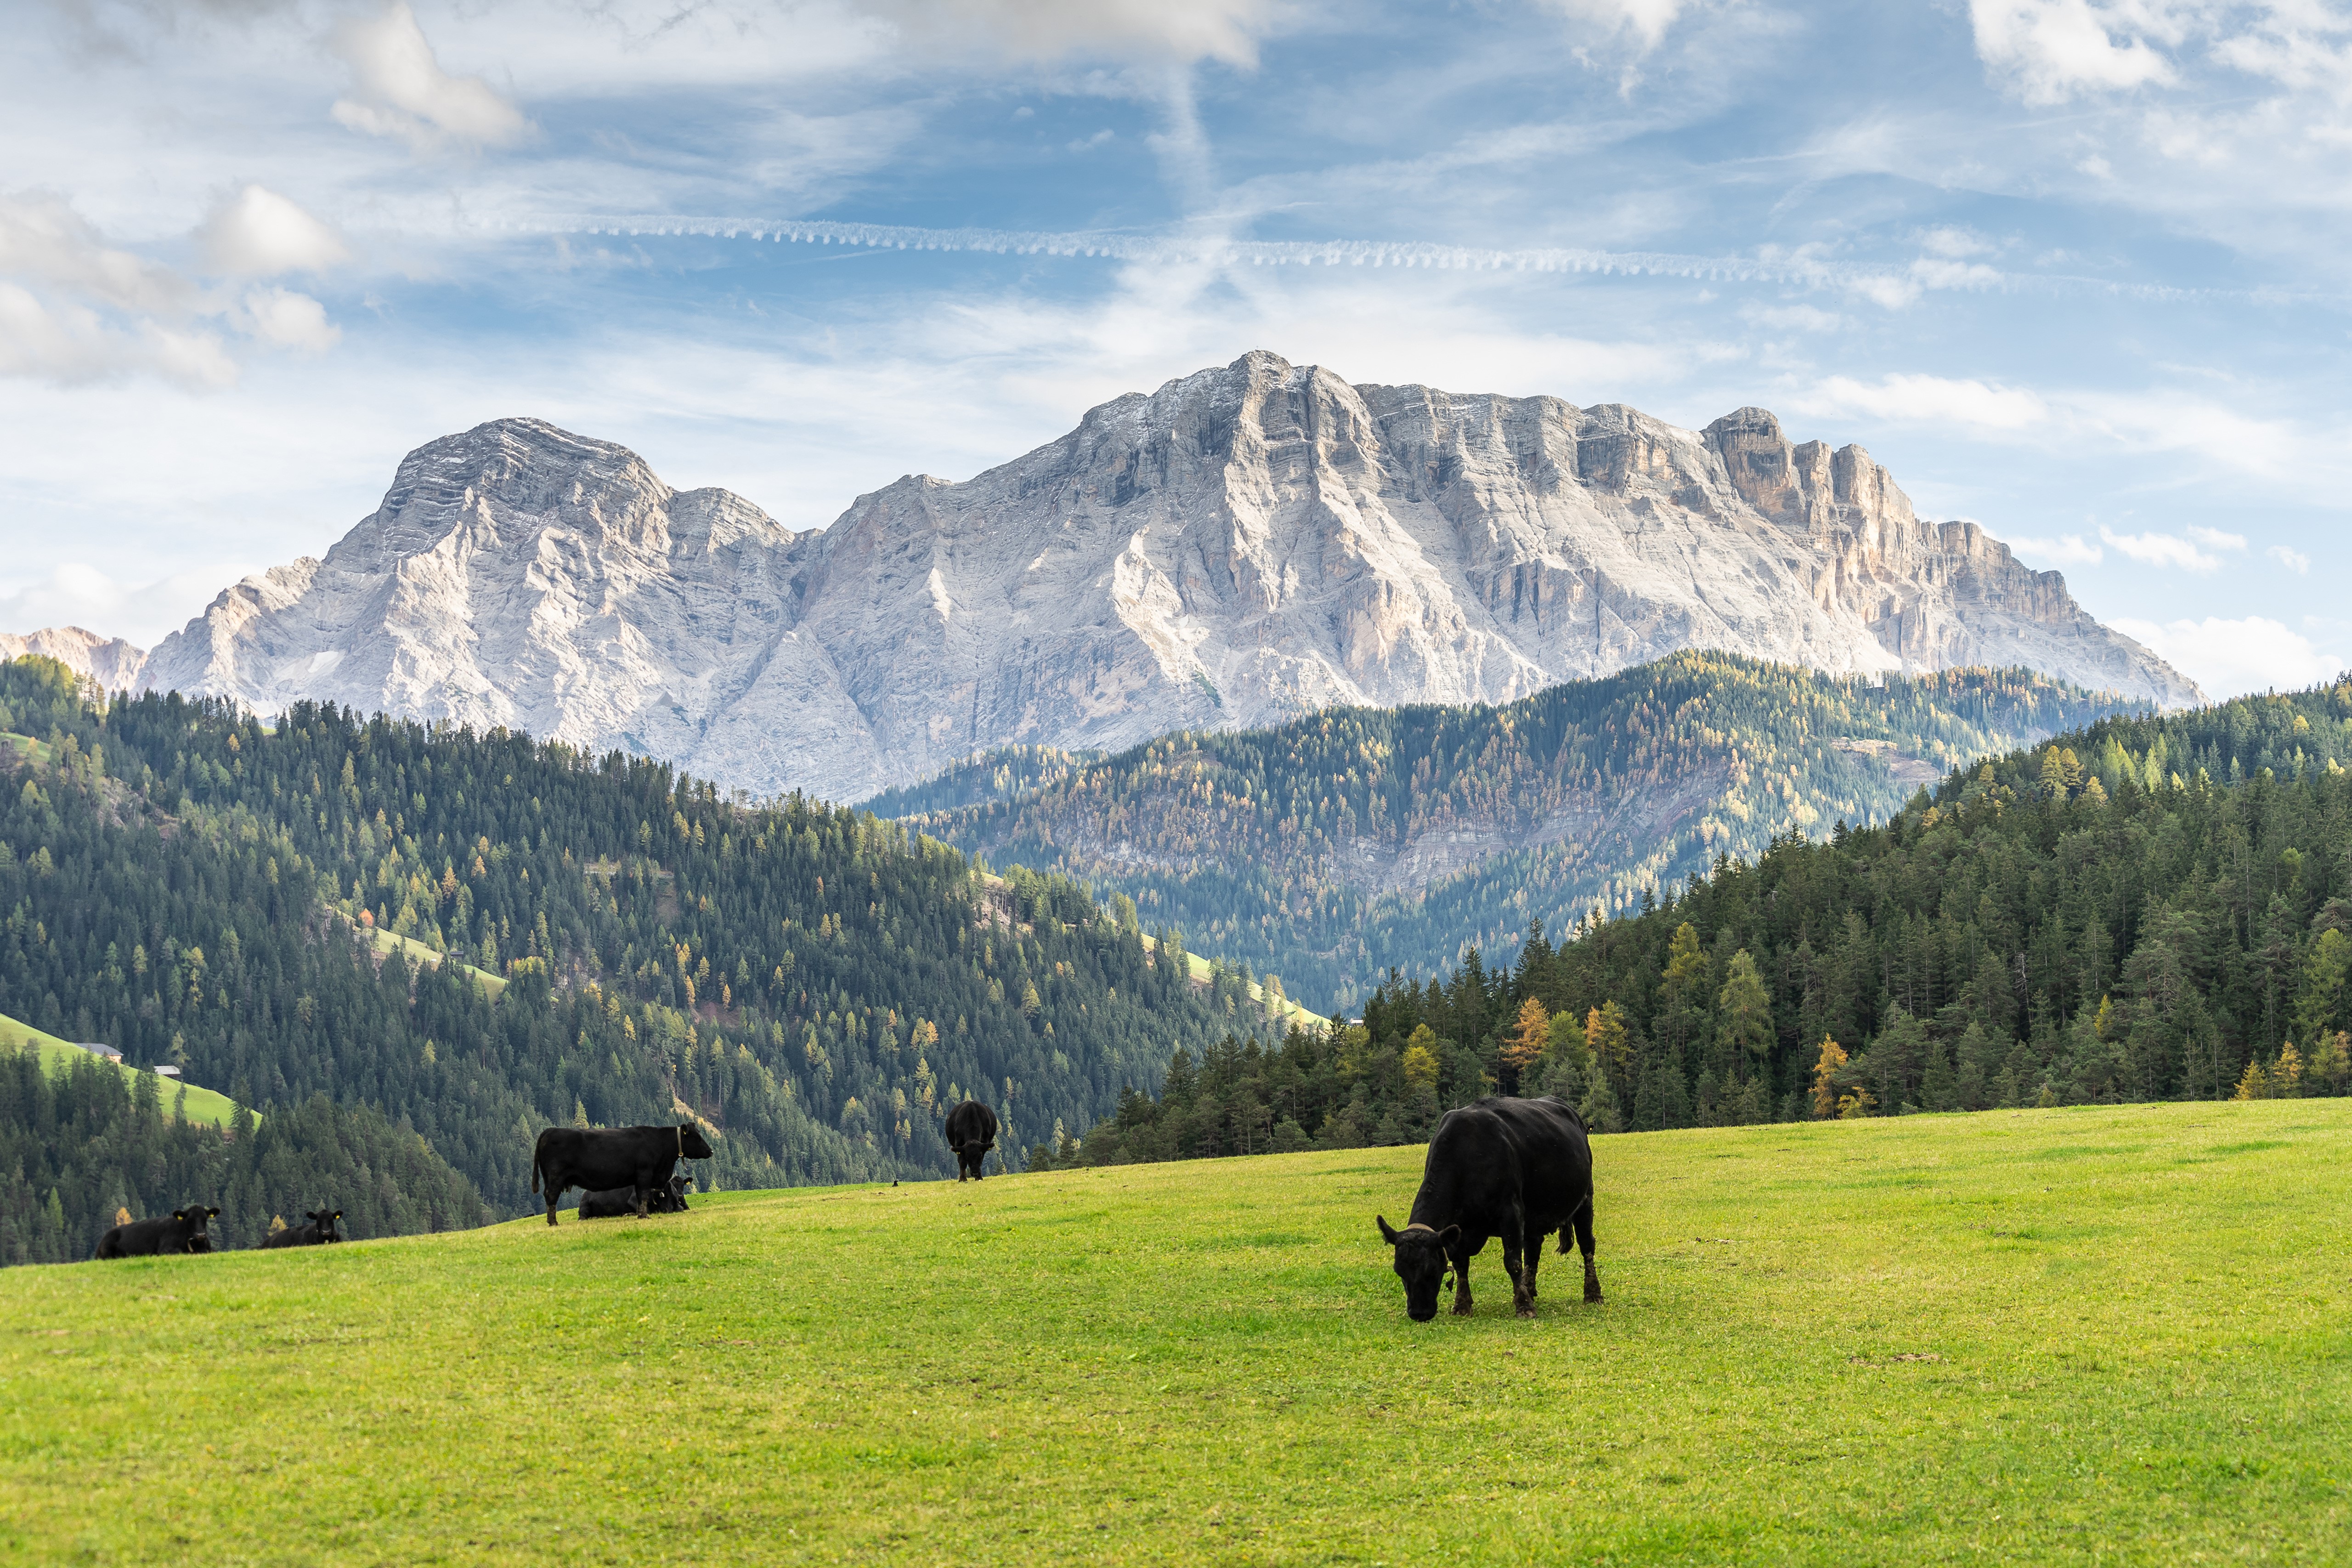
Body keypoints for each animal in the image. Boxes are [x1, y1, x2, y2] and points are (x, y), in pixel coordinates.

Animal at [943, 1099, 998, 1181]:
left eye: (980, 1155)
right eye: (967, 1156)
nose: (975, 1173)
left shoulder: (984, 1143)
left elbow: (981, 1162)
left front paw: (979, 1177)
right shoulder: (959, 1144)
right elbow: (962, 1162)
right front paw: (963, 1179)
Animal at [1375, 1095, 1600, 1322]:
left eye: (1432, 1269)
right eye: (1399, 1271)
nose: (1419, 1313)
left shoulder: (1511, 1211)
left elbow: (1513, 1262)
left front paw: (1524, 1306)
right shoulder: (1458, 1229)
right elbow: (1461, 1264)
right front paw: (1462, 1305)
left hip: (1585, 1198)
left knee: (1586, 1245)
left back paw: (1593, 1294)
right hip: (1534, 1214)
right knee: (1533, 1249)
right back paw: (1529, 1289)